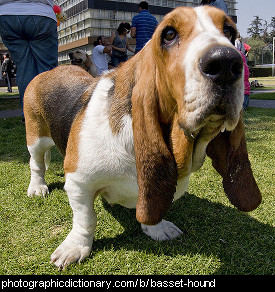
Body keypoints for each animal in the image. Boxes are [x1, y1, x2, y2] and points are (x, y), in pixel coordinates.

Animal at [23, 6, 260, 270]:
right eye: (168, 34)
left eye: (229, 31)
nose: (226, 62)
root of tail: (50, 70)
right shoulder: (78, 182)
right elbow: (86, 220)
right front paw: (75, 247)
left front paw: (156, 228)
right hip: (36, 138)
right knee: (36, 164)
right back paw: (37, 187)